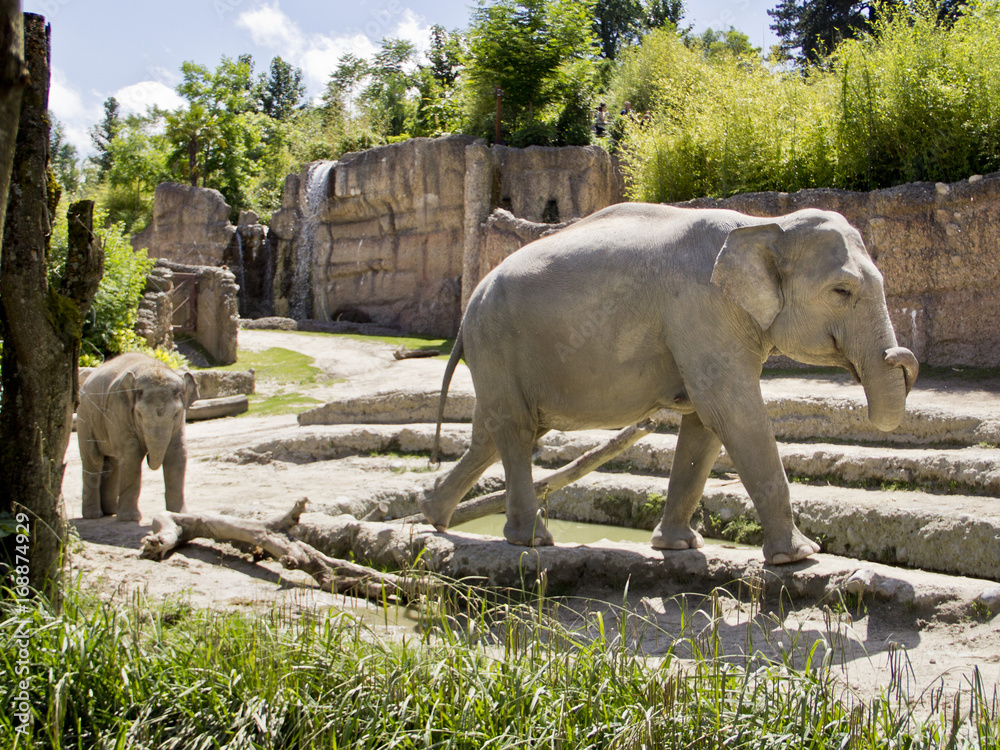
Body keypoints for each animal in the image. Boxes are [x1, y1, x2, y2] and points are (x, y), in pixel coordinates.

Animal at [77, 352, 198, 522]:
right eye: (139, 414)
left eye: (176, 414)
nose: (149, 457)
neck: (153, 366)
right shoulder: (119, 409)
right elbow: (131, 455)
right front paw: (130, 519)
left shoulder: (179, 423)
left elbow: (177, 453)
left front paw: (179, 514)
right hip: (85, 417)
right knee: (93, 459)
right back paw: (93, 515)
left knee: (112, 462)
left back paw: (110, 511)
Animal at [420, 203, 918, 564]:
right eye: (842, 292)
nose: (900, 358)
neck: (763, 224)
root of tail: (469, 306)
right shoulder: (702, 307)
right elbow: (732, 411)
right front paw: (799, 558)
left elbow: (705, 422)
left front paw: (678, 547)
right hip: (497, 342)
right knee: (517, 432)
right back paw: (532, 542)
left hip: (498, 355)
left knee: (493, 434)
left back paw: (432, 516)